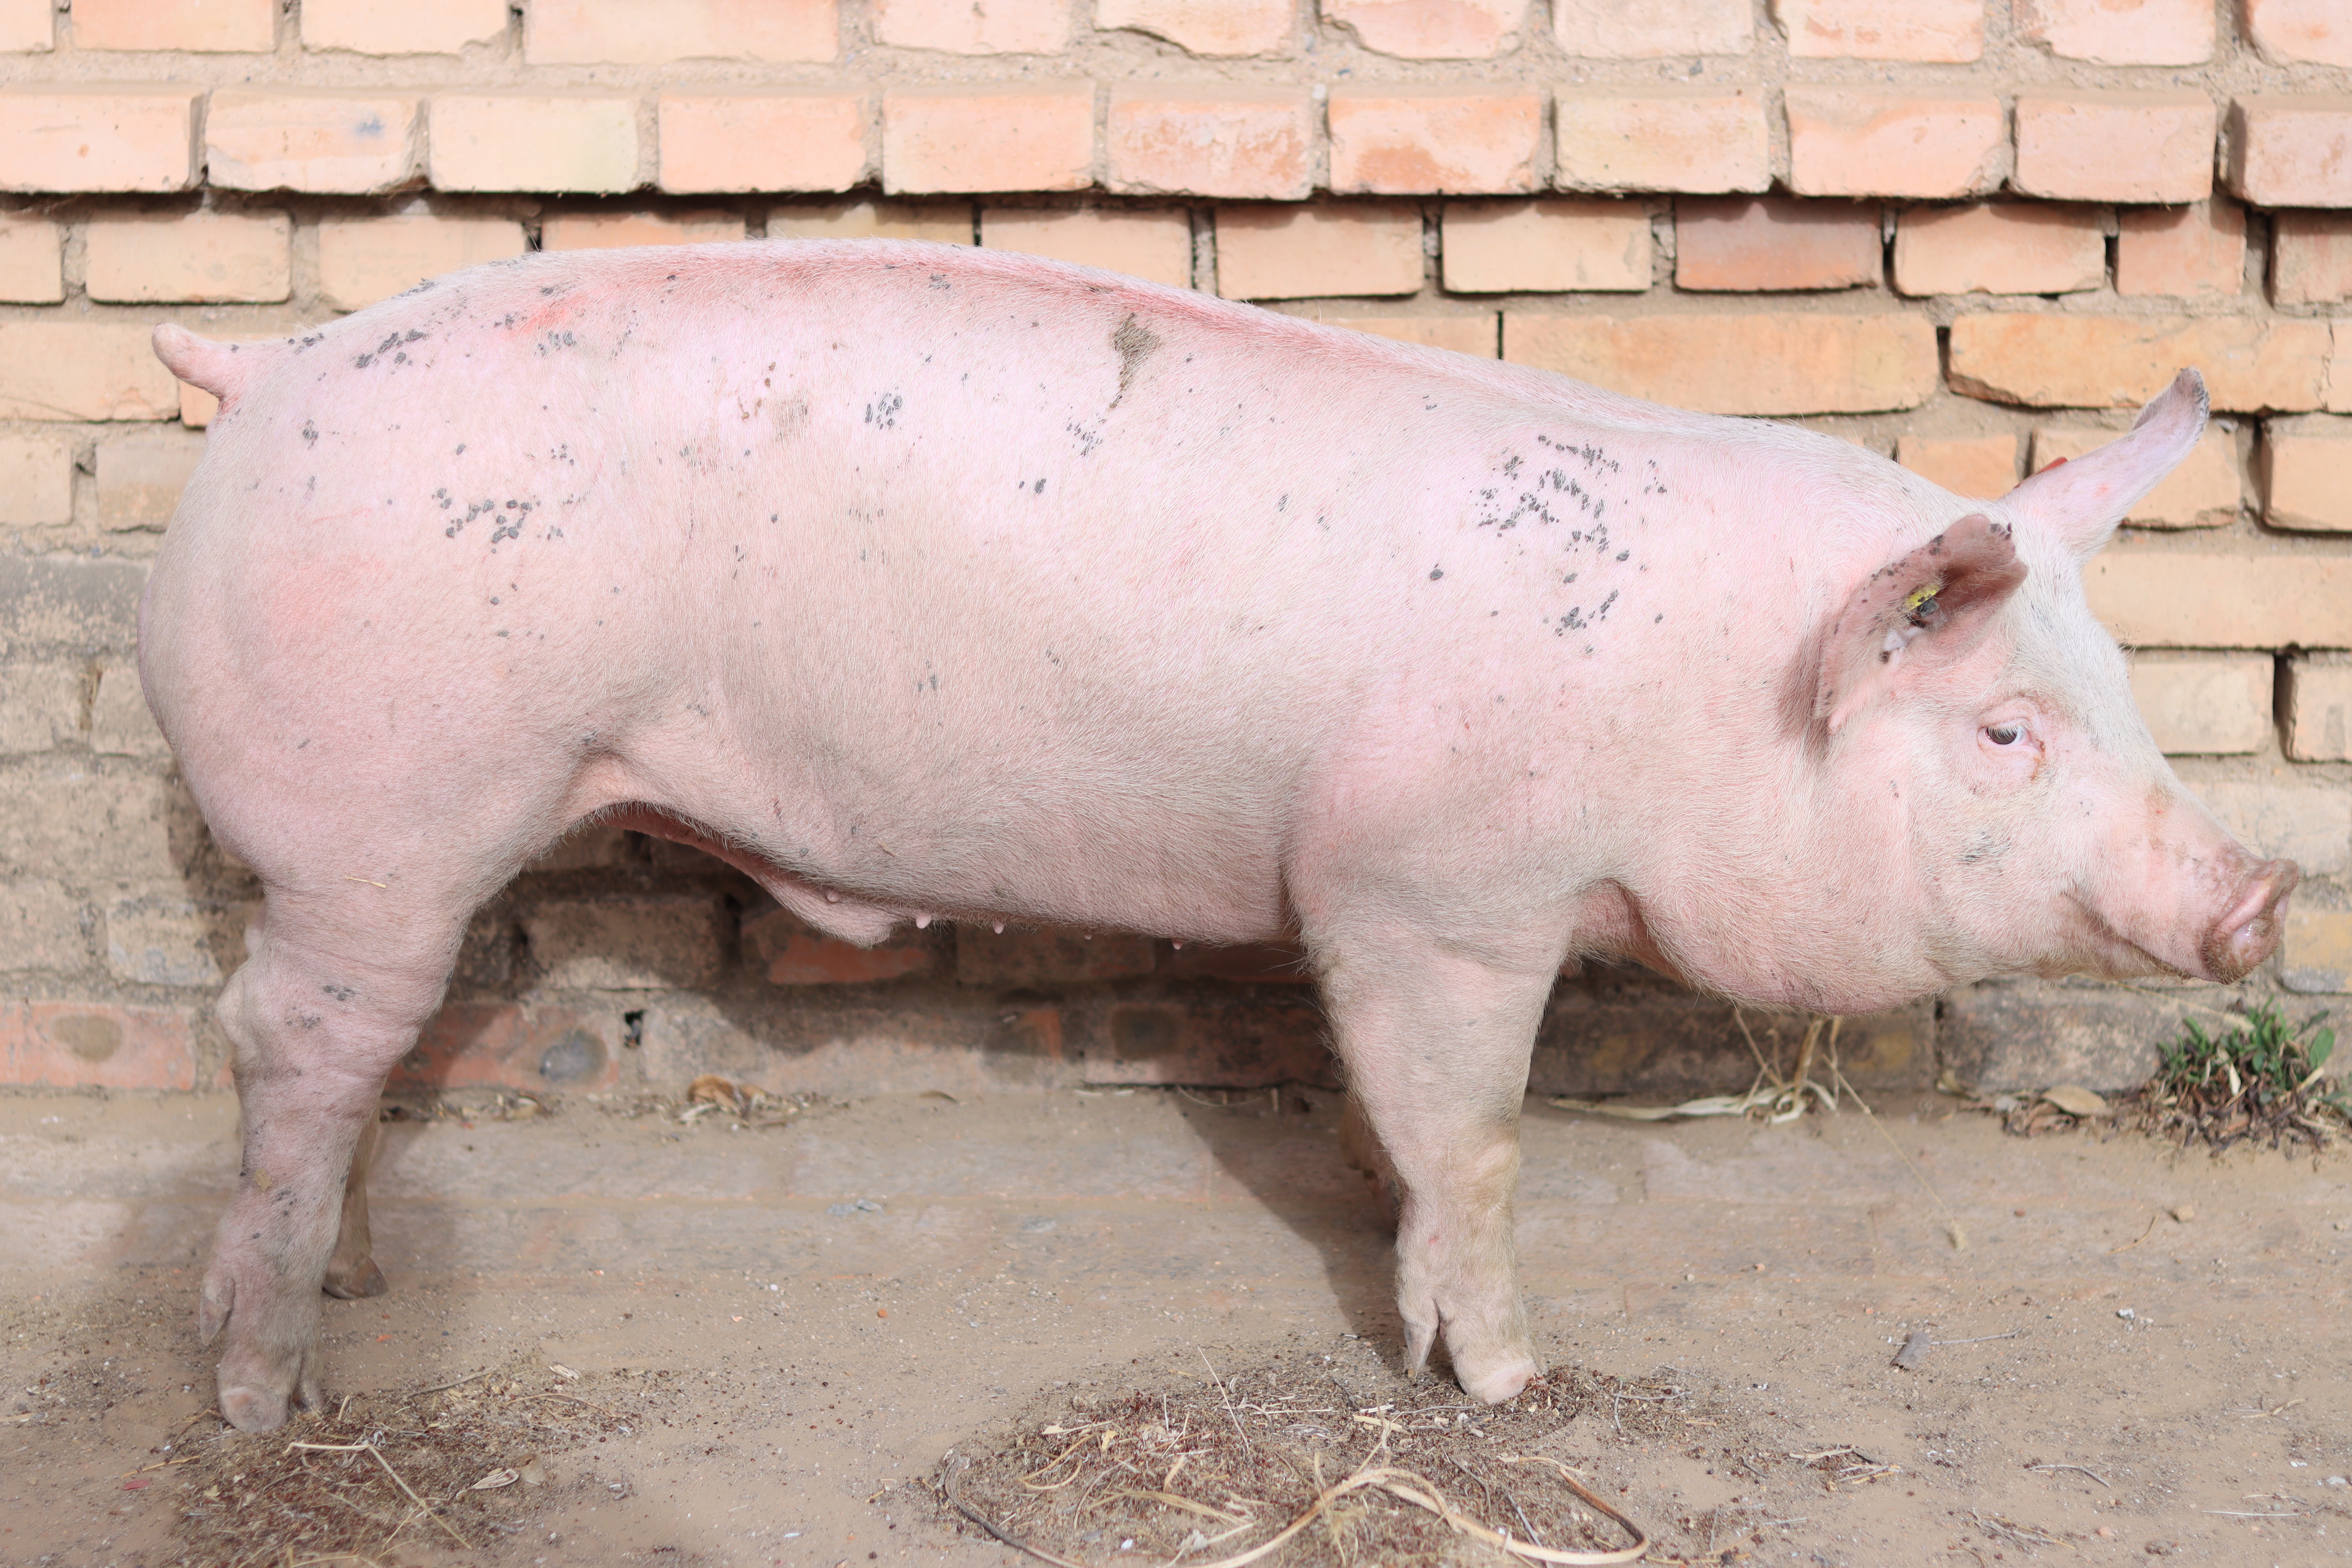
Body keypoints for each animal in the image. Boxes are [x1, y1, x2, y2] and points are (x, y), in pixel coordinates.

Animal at [141, 239, 2297, 1432]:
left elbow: (1407, 1142)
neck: (1708, 700)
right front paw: (1513, 1384)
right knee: (285, 1040)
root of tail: (269, 367)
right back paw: (269, 1395)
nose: (2265, 894)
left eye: (2120, 690)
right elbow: (1472, 1135)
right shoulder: (1426, 891)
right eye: (2004, 730)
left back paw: (352, 1296)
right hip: (384, 811)